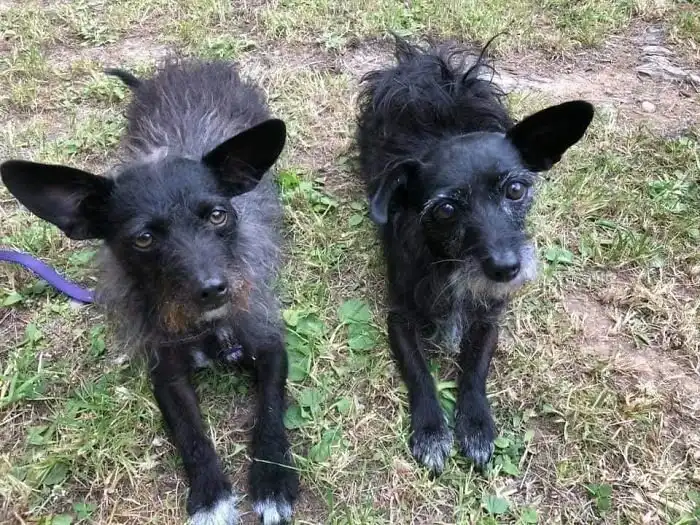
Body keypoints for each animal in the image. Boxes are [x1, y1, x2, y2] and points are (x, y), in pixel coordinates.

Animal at [1, 60, 298, 524]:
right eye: (143, 239)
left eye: (218, 215)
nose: (215, 289)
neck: (207, 329)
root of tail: (188, 66)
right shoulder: (165, 374)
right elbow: (191, 433)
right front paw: (211, 497)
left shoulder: (269, 345)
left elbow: (269, 411)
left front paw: (272, 483)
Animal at [356, 36, 593, 473]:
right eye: (446, 210)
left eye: (515, 190)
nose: (506, 268)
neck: (449, 263)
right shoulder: (399, 318)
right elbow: (419, 371)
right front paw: (432, 431)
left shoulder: (490, 317)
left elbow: (475, 368)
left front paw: (477, 424)